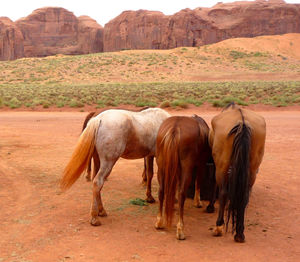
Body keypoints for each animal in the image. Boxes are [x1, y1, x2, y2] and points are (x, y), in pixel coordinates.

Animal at [210, 103, 266, 244]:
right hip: (252, 169)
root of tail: (242, 122)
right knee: (245, 195)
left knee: (223, 192)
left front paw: (210, 206)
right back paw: (240, 232)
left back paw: (219, 226)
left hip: (222, 165)